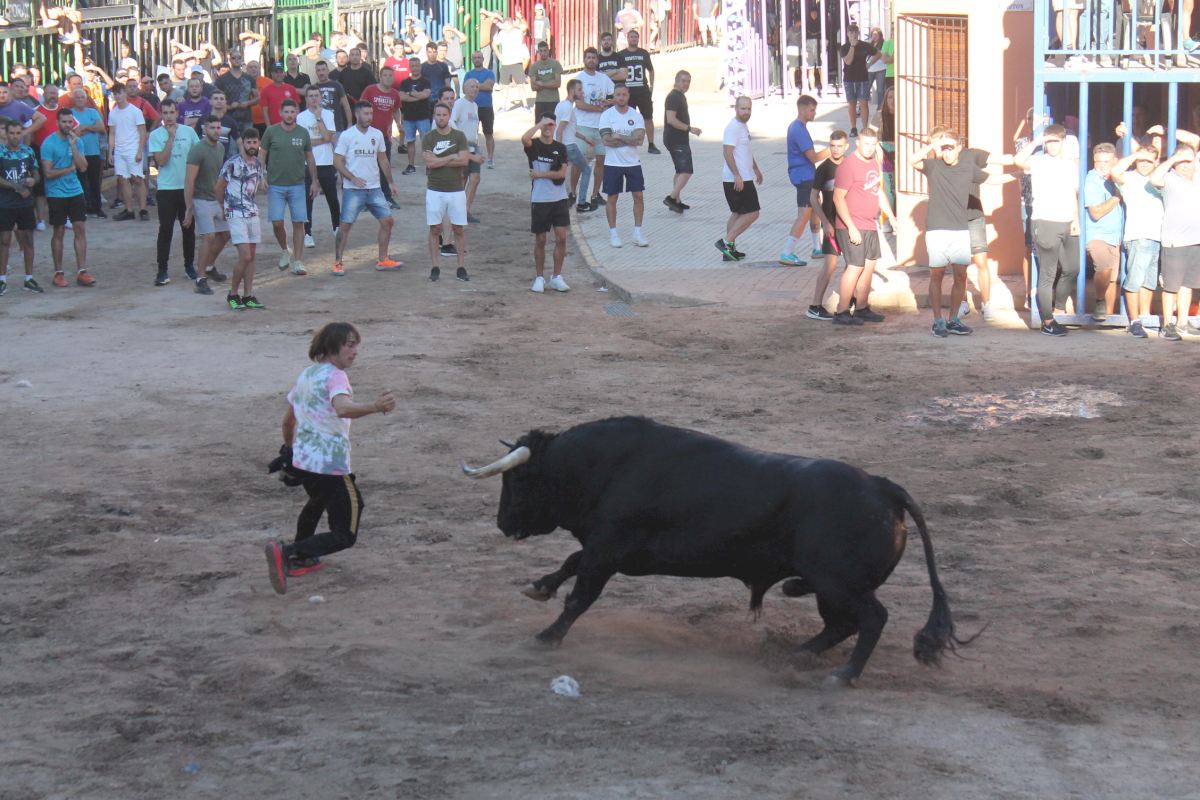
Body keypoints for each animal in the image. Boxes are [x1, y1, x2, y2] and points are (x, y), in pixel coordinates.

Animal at [462, 416, 970, 684]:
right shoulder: (606, 550)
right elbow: (570, 563)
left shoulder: (607, 551)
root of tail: (883, 488)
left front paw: (548, 636)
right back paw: (797, 654)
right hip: (831, 586)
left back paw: (842, 675)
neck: (606, 466)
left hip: (837, 581)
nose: (503, 524)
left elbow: (580, 594)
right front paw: (538, 587)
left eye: (517, 481)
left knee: (871, 618)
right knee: (841, 623)